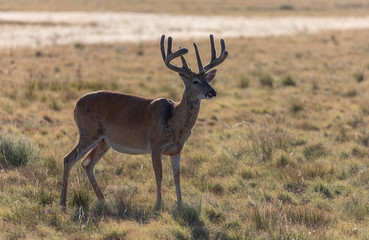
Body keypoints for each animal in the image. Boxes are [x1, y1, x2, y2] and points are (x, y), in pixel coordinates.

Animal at [59, 33, 227, 208]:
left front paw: (180, 204)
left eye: (207, 79)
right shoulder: (155, 144)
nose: (213, 92)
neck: (174, 120)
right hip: (88, 131)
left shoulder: (177, 149)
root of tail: (76, 104)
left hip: (104, 141)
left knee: (87, 163)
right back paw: (63, 202)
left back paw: (102, 200)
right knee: (68, 159)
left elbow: (177, 176)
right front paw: (158, 204)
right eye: (195, 81)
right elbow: (159, 175)